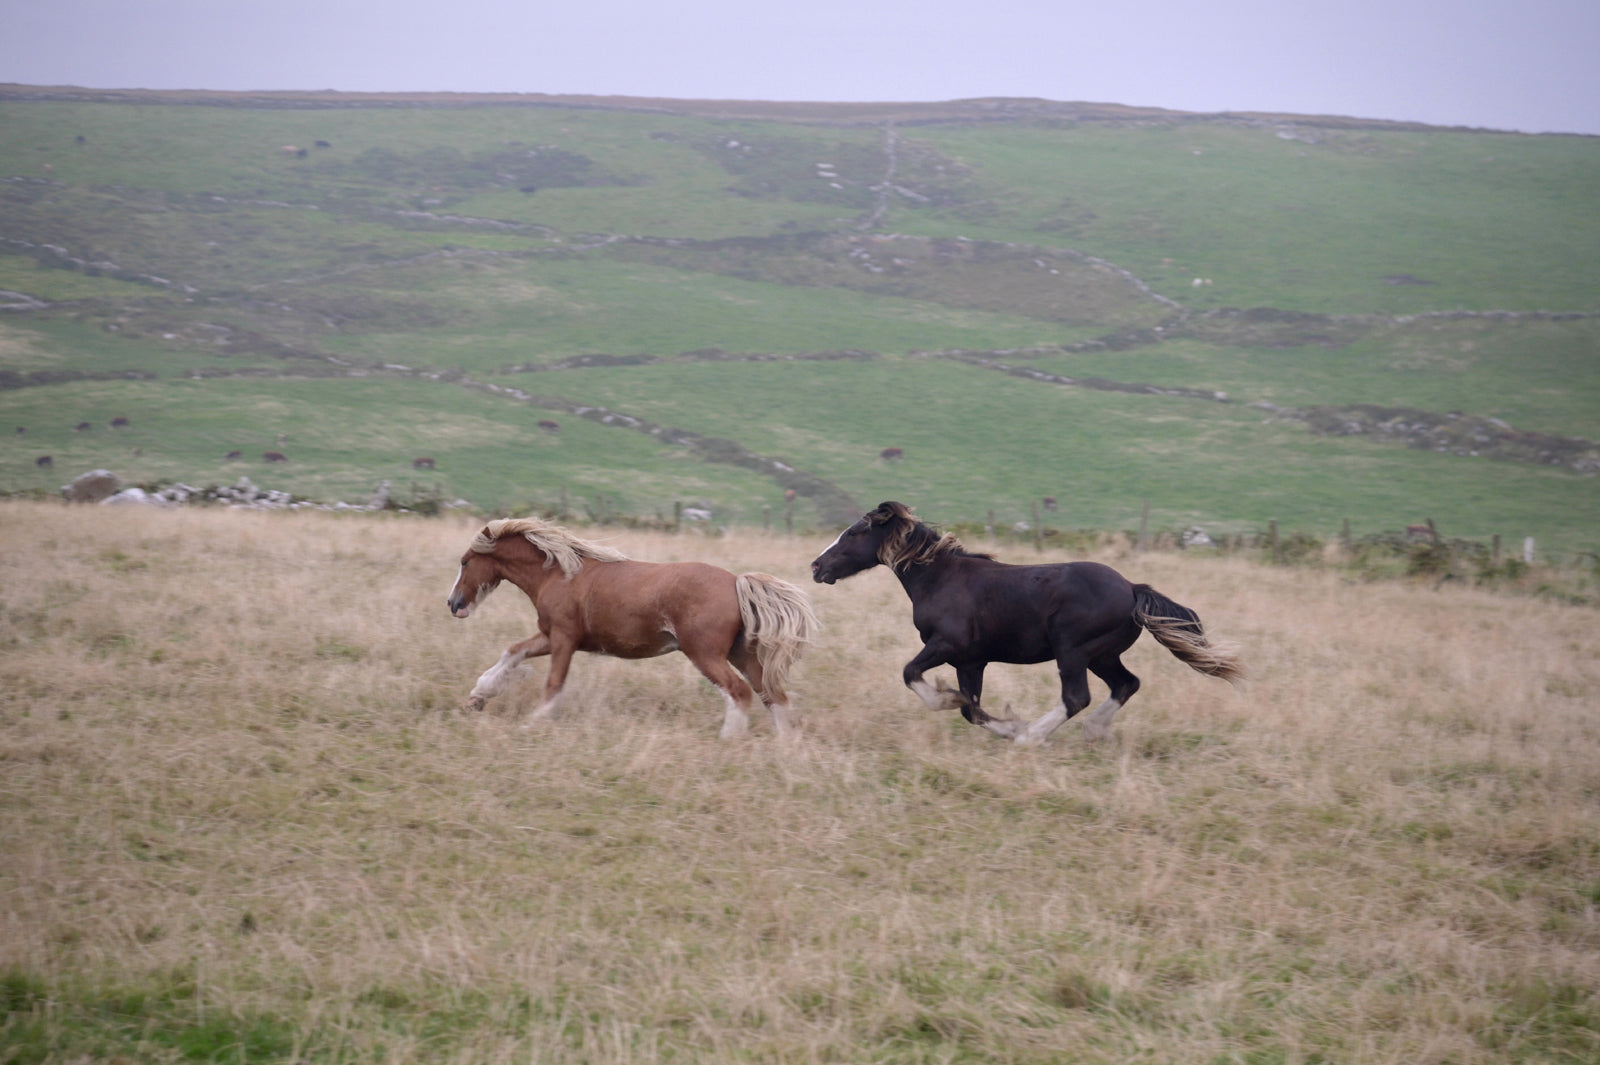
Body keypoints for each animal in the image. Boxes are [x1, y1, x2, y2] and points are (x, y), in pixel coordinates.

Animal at [448, 518, 818, 738]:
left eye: (465, 562)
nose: (453, 603)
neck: (559, 574)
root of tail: (737, 582)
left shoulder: (564, 638)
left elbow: (553, 683)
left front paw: (532, 722)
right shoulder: (551, 636)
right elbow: (513, 651)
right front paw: (478, 696)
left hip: (704, 654)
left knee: (739, 692)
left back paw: (729, 739)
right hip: (742, 655)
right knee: (773, 695)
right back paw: (785, 746)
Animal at [810, 502, 1243, 745]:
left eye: (855, 532)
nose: (816, 567)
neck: (939, 578)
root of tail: (1133, 589)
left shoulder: (946, 646)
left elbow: (913, 675)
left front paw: (1003, 725)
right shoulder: (971, 660)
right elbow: (972, 709)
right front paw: (1001, 723)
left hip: (1073, 651)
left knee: (1077, 698)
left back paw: (1033, 737)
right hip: (1101, 655)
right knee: (1126, 684)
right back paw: (1093, 732)